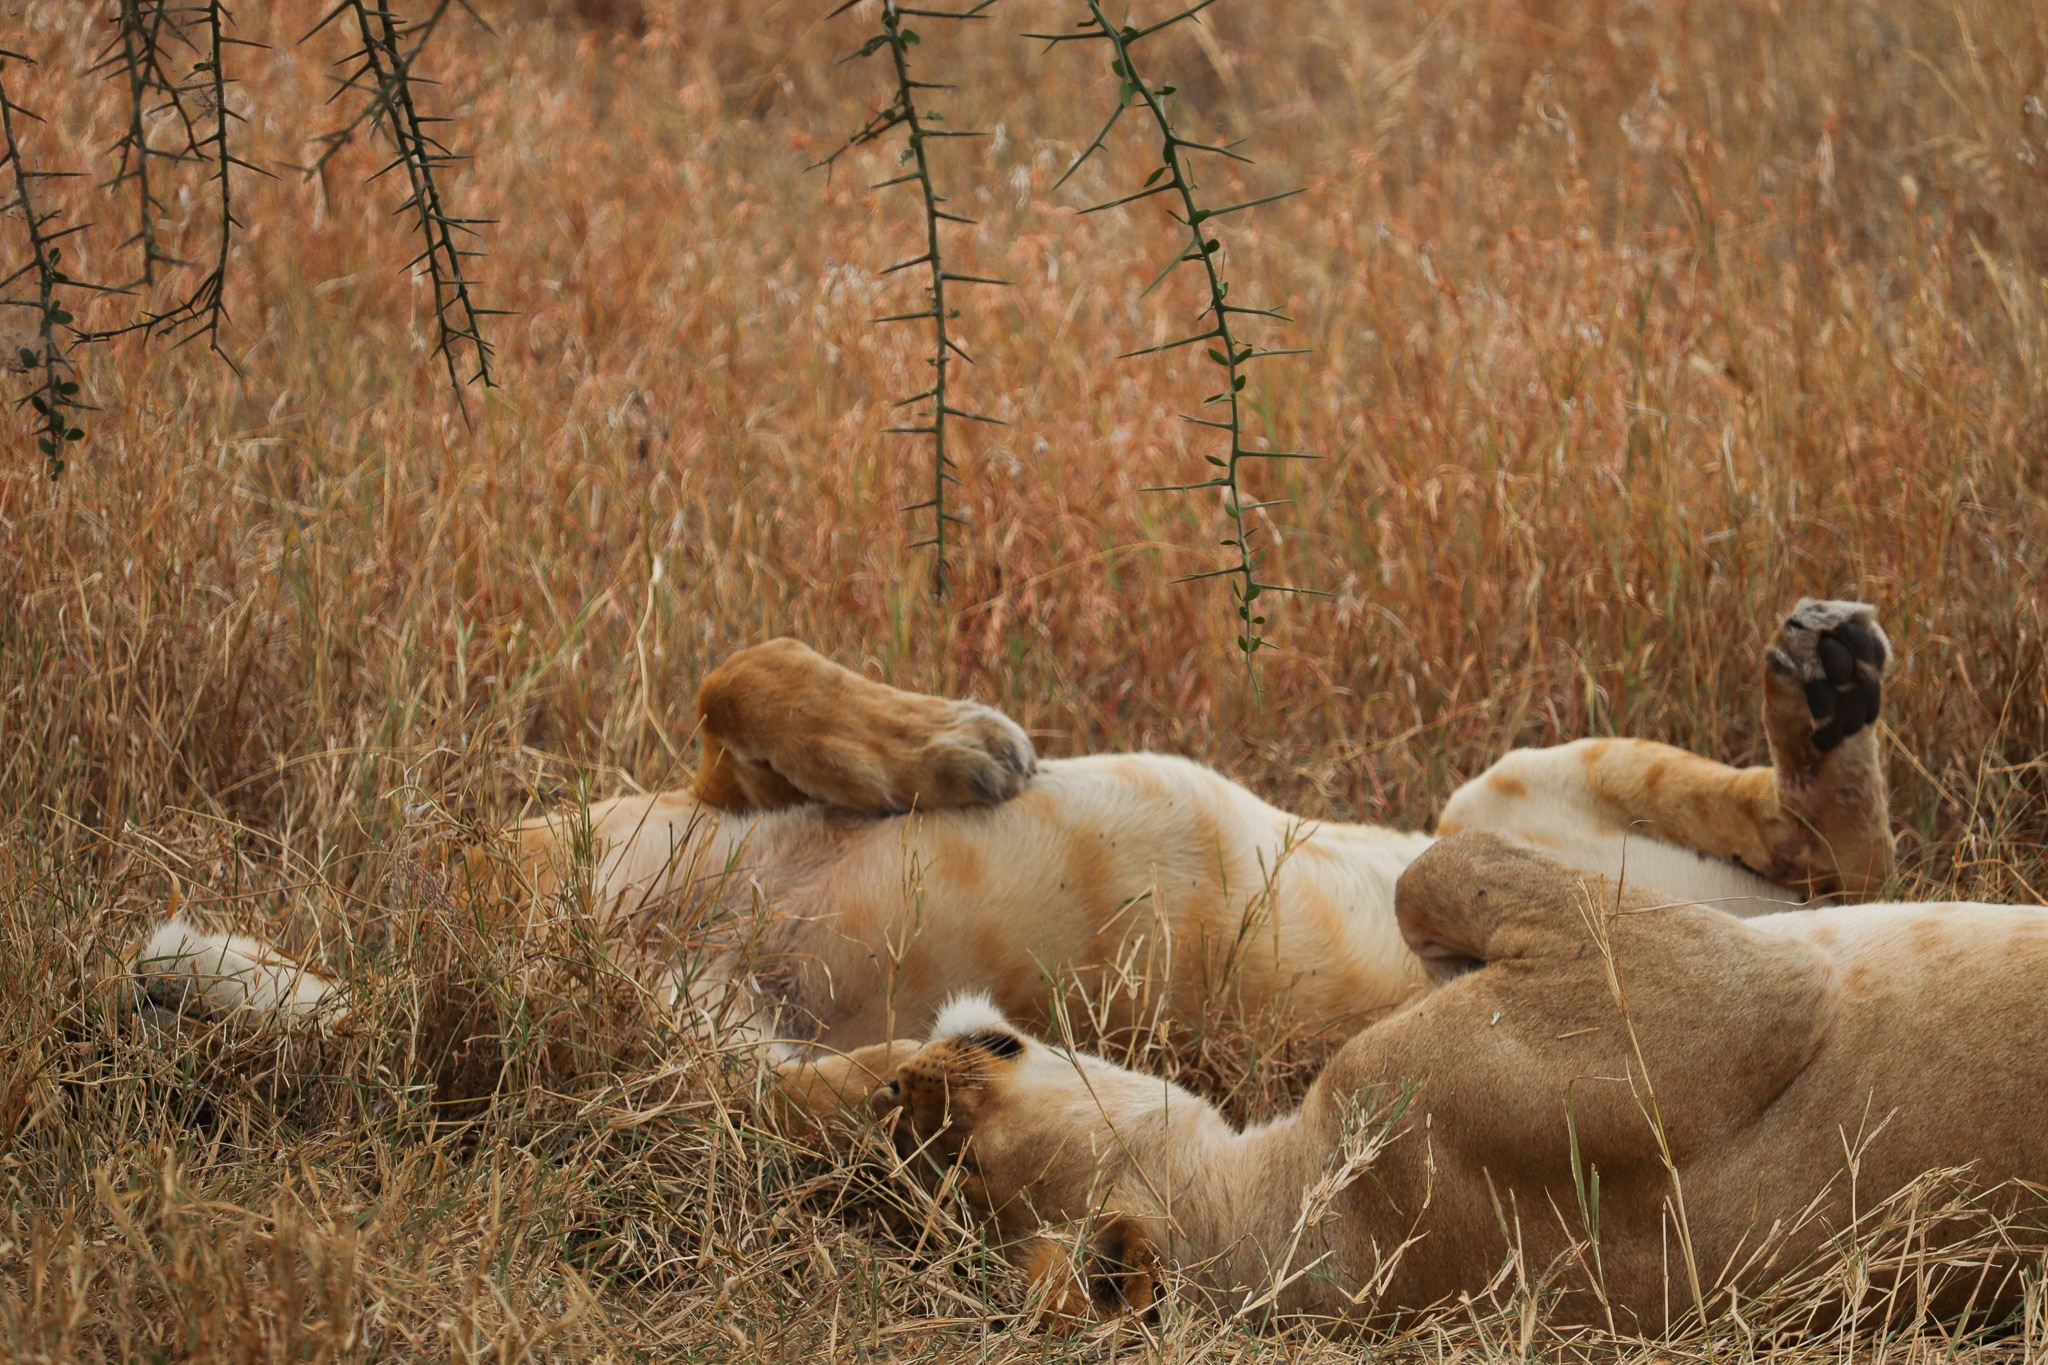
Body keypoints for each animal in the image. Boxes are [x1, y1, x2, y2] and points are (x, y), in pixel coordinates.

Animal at [132, 597, 1884, 1055]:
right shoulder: (682, 1029)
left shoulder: (717, 794)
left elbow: (740, 666)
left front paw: (950, 746)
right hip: (1505, 809)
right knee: (1834, 853)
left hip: (1507, 786)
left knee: (1841, 847)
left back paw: (1828, 676)